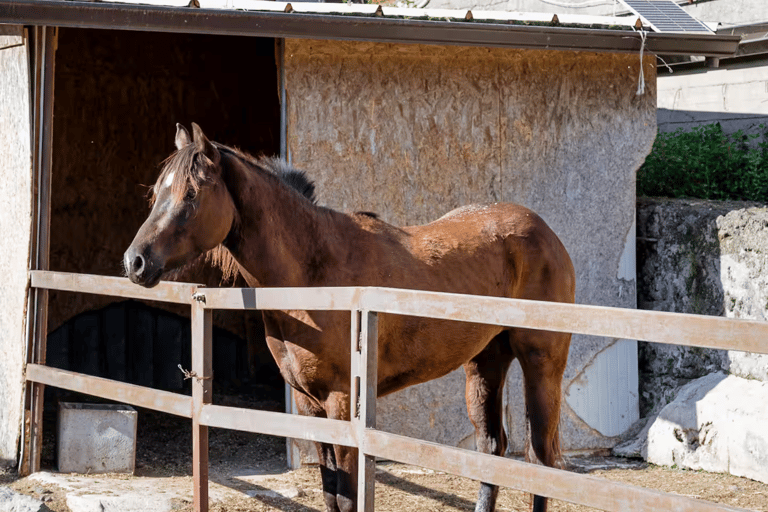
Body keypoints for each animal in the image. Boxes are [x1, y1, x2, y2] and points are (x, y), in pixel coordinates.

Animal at [124, 123, 575, 512]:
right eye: (157, 193)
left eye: (191, 194)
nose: (135, 261)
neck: (315, 277)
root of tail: (546, 234)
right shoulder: (309, 405)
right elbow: (329, 494)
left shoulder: (341, 403)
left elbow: (347, 496)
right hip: (485, 362)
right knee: (491, 452)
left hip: (541, 364)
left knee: (541, 459)